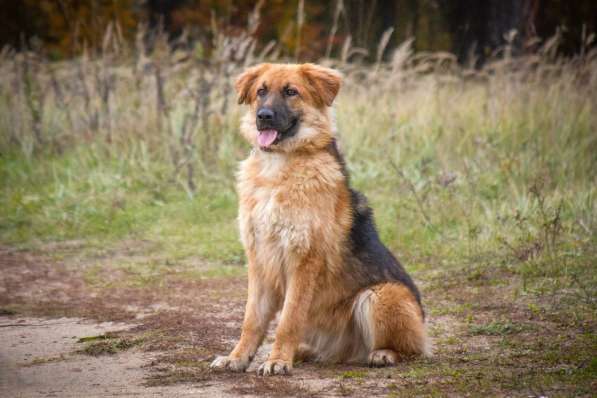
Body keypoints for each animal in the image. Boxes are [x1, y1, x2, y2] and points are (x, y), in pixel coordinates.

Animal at [210, 63, 428, 376]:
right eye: (261, 91)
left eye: (291, 92)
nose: (263, 116)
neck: (279, 166)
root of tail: (346, 352)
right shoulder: (259, 260)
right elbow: (252, 320)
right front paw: (237, 357)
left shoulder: (303, 260)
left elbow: (289, 320)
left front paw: (278, 360)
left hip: (382, 295)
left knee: (410, 350)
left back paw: (383, 353)